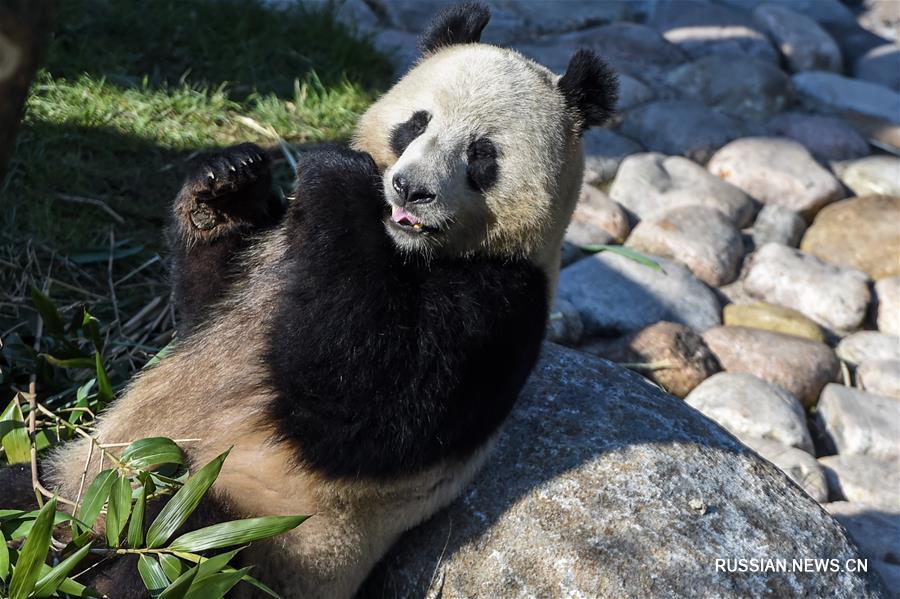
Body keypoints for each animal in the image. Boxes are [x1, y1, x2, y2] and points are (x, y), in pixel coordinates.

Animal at [31, 2, 616, 596]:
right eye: (417, 123)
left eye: (482, 154)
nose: (410, 190)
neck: (408, 246)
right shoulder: (273, 258)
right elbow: (206, 305)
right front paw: (227, 182)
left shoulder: (503, 305)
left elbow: (367, 401)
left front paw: (339, 175)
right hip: (78, 481)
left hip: (249, 534)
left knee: (175, 543)